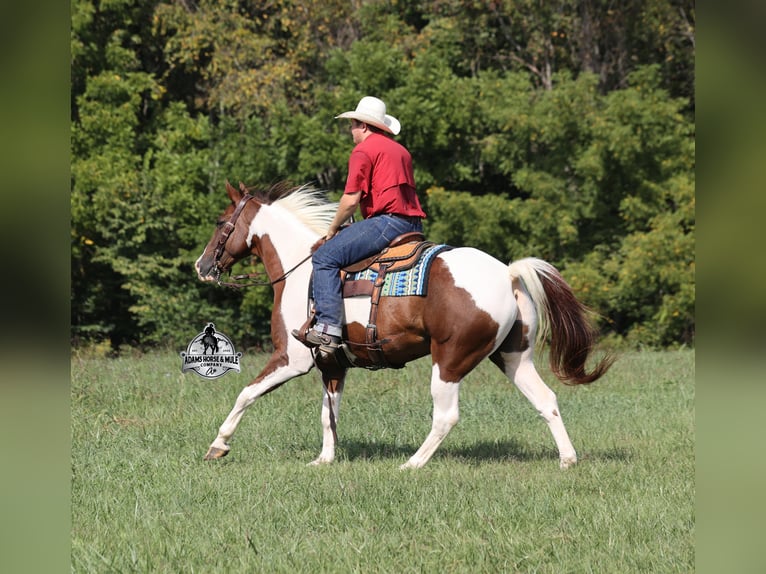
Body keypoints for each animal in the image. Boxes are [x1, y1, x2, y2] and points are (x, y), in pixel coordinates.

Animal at [194, 181, 613, 469]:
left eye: (220, 222)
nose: (202, 266)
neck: (301, 269)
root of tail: (507, 272)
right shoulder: (332, 364)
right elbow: (329, 413)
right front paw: (324, 459)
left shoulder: (292, 358)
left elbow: (246, 394)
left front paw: (219, 444)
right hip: (513, 359)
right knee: (546, 400)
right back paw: (567, 459)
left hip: (449, 361)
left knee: (446, 416)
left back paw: (412, 463)